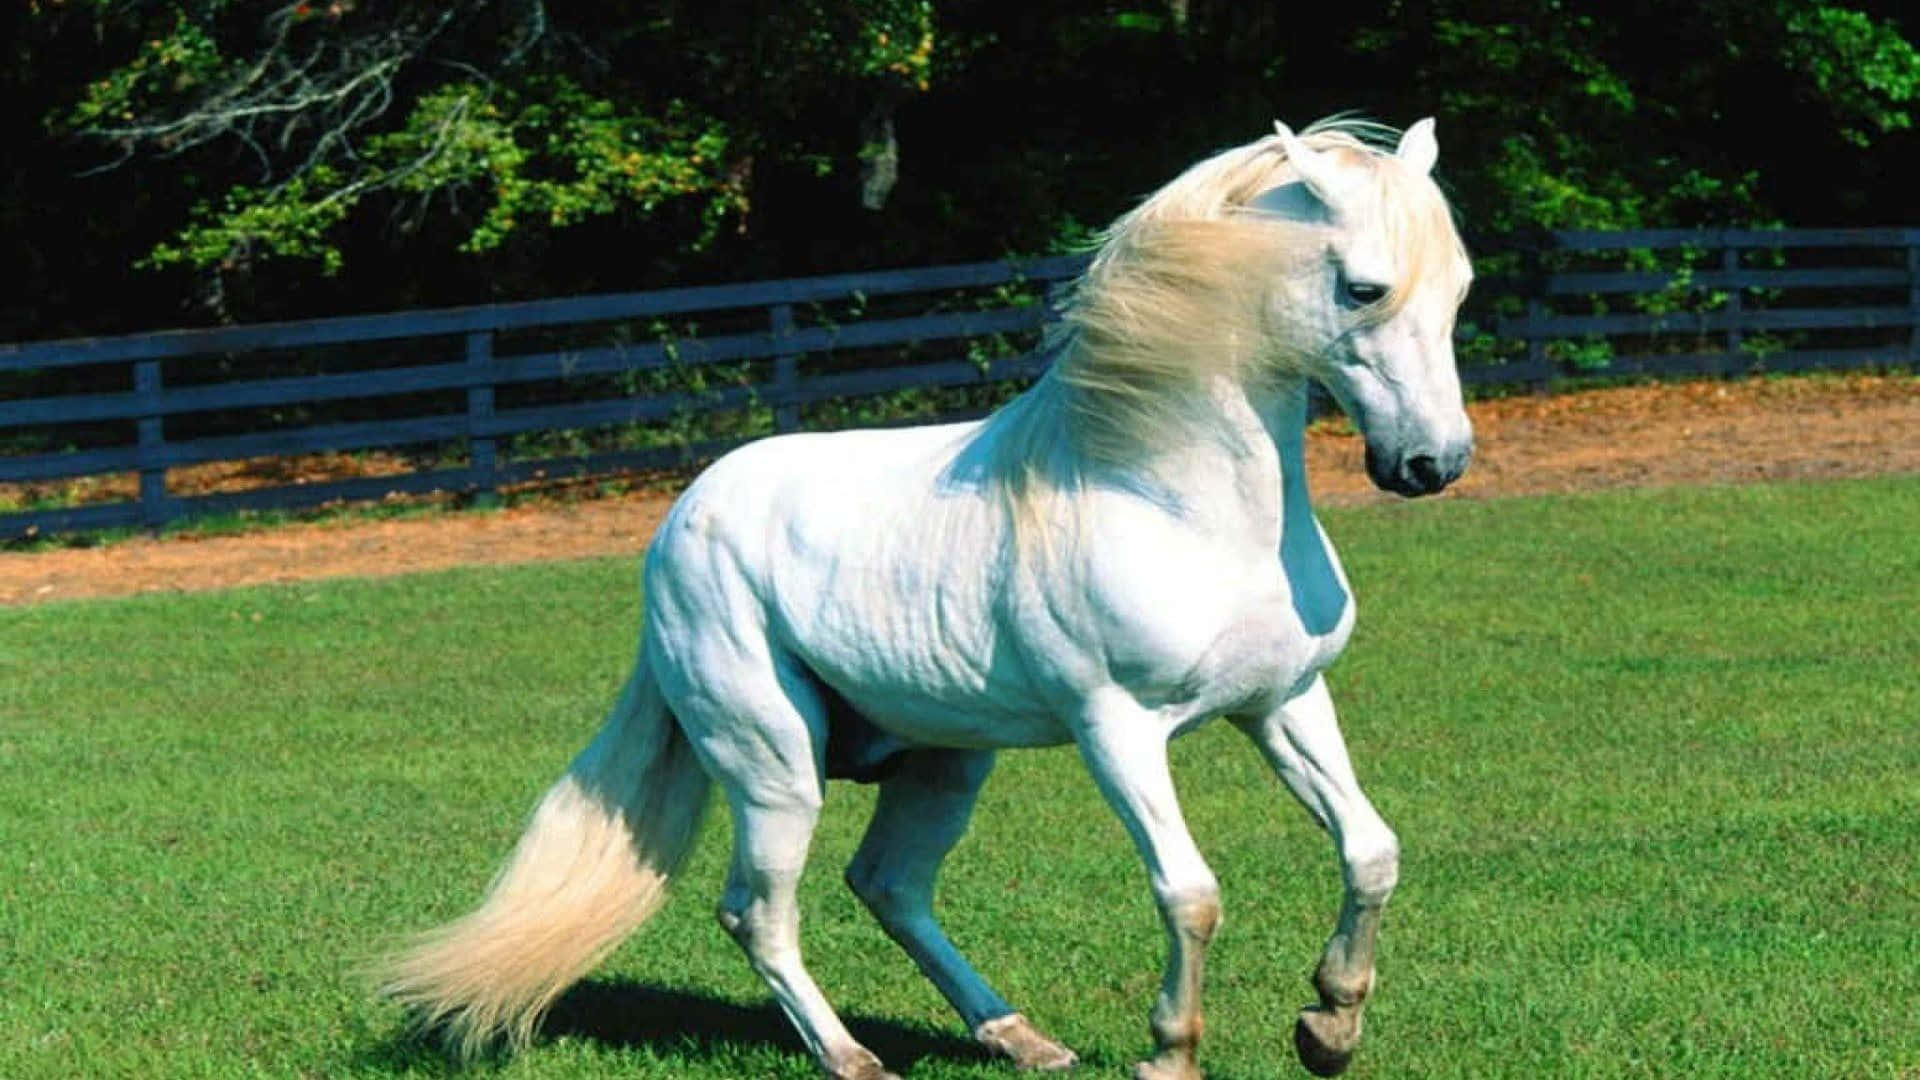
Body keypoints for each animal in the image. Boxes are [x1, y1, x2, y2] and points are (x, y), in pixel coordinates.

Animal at [380, 115, 1474, 1080]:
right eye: (1364, 287)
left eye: (1460, 286)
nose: (1432, 464)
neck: (1172, 502)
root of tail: (681, 522)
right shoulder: (1117, 729)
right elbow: (1188, 892)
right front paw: (1171, 1052)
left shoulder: (1283, 703)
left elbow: (1371, 852)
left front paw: (1327, 1029)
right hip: (776, 766)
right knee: (758, 912)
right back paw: (853, 1057)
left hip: (946, 761)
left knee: (890, 885)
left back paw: (1020, 1039)